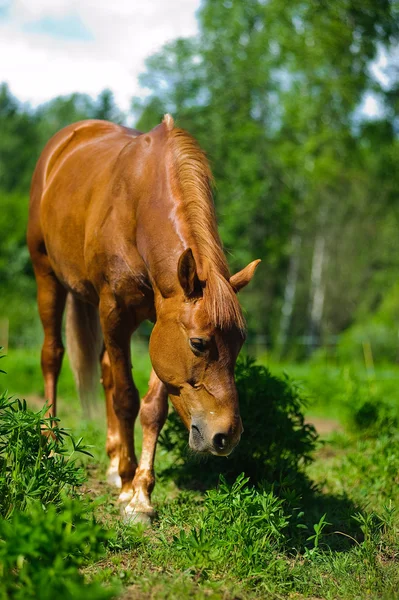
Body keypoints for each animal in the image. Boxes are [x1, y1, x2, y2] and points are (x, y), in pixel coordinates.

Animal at [26, 115, 260, 524]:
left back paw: (112, 460)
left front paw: (140, 494)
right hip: (47, 278)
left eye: (240, 344)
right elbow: (126, 398)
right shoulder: (114, 313)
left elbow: (153, 408)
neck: (138, 211)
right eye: (198, 343)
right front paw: (127, 482)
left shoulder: (159, 321)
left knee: (104, 369)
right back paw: (52, 446)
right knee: (52, 356)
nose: (226, 436)